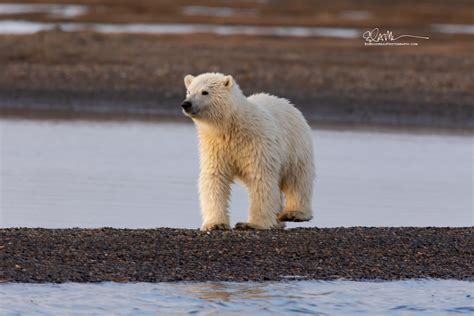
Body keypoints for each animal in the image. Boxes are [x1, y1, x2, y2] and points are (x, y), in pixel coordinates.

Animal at [181, 73, 314, 231]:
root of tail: (288, 103)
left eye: (204, 92)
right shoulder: (215, 147)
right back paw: (277, 221)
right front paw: (215, 224)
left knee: (296, 179)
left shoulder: (256, 144)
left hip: (295, 145)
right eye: (189, 91)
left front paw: (253, 224)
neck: (231, 127)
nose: (186, 104)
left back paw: (294, 213)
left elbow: (260, 179)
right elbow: (215, 178)